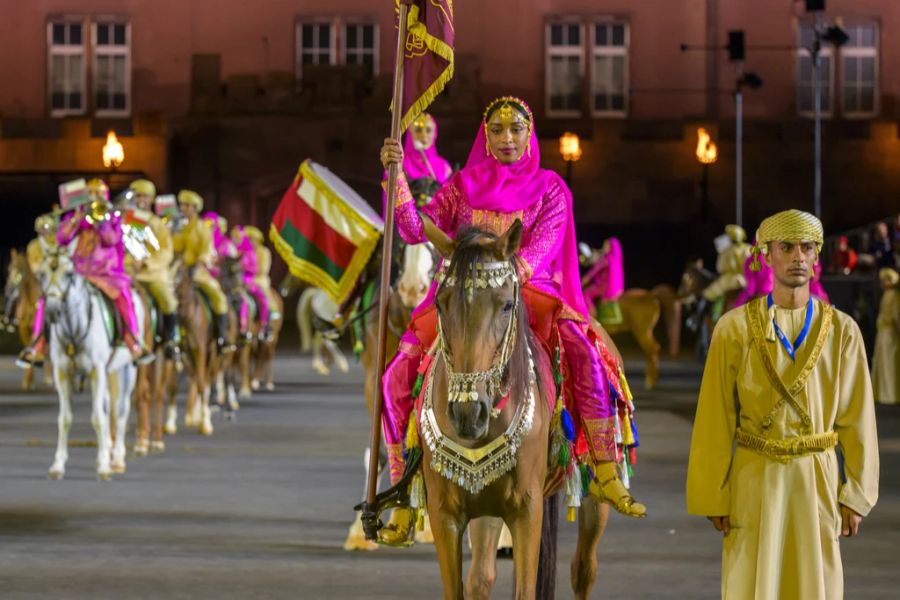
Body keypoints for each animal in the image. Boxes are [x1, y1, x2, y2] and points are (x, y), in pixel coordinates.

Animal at [39, 246, 142, 480]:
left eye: (68, 274)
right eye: (42, 274)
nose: (52, 311)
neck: (74, 329)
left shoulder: (97, 371)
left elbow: (98, 417)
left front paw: (104, 465)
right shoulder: (62, 372)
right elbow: (65, 418)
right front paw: (58, 465)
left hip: (128, 369)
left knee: (121, 409)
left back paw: (117, 458)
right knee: (107, 406)